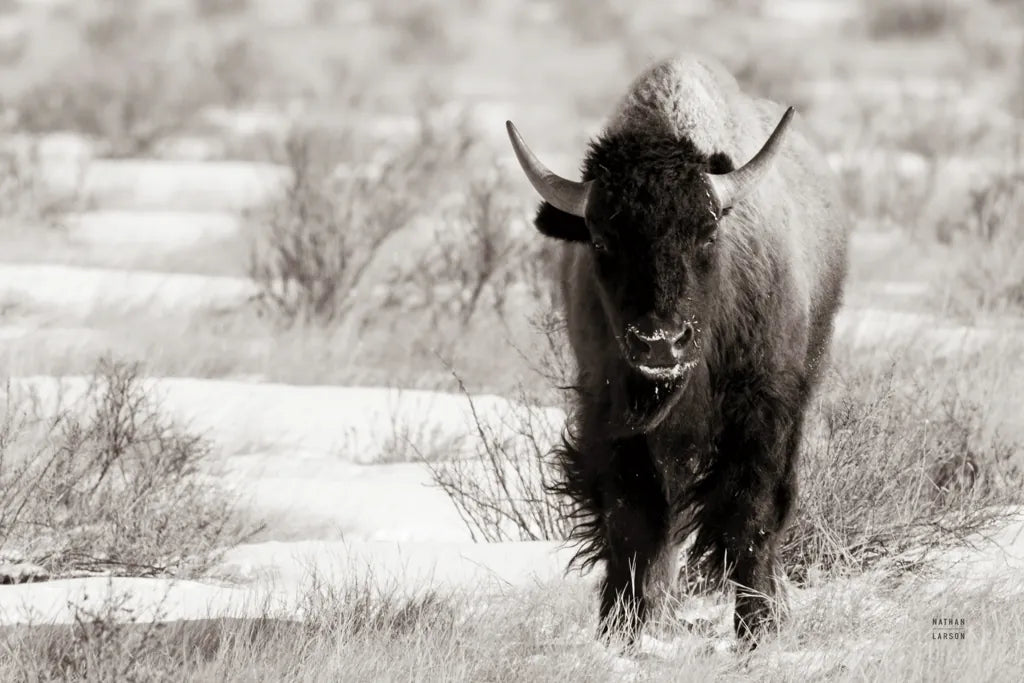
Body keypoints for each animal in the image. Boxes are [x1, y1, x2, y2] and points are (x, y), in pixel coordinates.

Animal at [506, 54, 850, 645]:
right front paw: (619, 632)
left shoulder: (763, 415)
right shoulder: (610, 420)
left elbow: (751, 517)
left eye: (706, 233)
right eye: (601, 241)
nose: (660, 343)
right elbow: (632, 525)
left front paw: (758, 631)